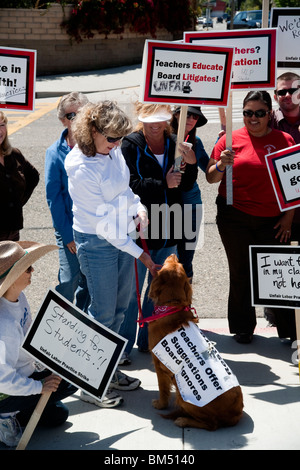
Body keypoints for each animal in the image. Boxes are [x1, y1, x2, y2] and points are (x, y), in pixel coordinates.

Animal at [148, 255, 244, 432]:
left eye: (170, 263)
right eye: (177, 264)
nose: (173, 255)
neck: (171, 306)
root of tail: (236, 413)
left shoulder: (158, 363)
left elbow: (162, 389)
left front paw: (160, 404)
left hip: (185, 398)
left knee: (212, 425)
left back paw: (183, 420)